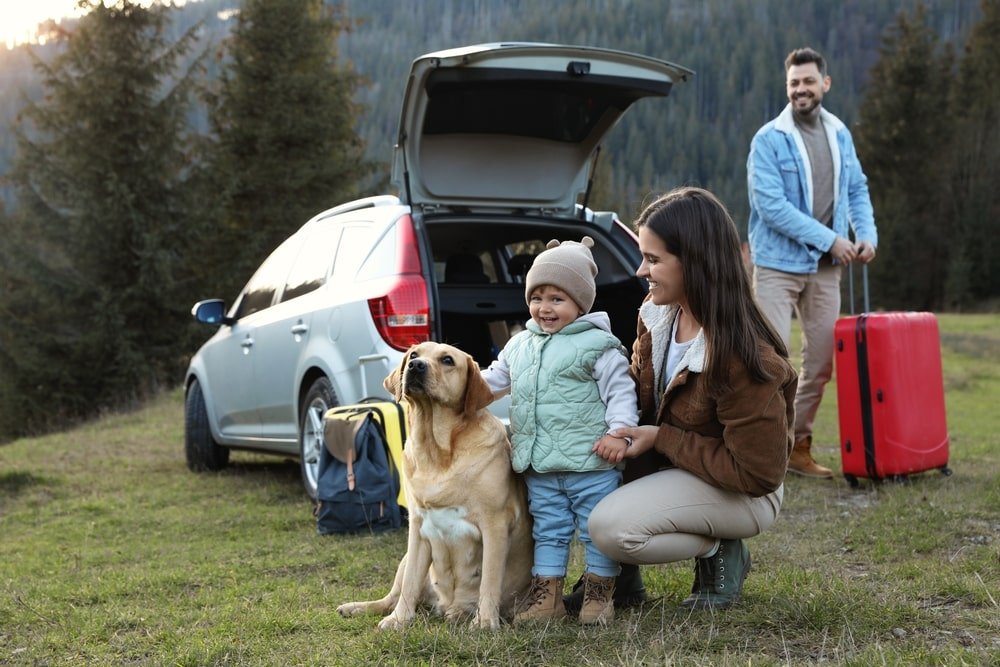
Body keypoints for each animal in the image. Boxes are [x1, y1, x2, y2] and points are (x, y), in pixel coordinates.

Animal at [336, 344, 536, 632]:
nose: (415, 366)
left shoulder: (495, 524)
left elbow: (489, 579)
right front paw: (399, 620)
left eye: (448, 360)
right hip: (404, 558)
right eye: (414, 355)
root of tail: (445, 607)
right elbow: (410, 584)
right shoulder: (418, 529)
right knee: (392, 596)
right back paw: (357, 608)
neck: (435, 451)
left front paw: (485, 622)